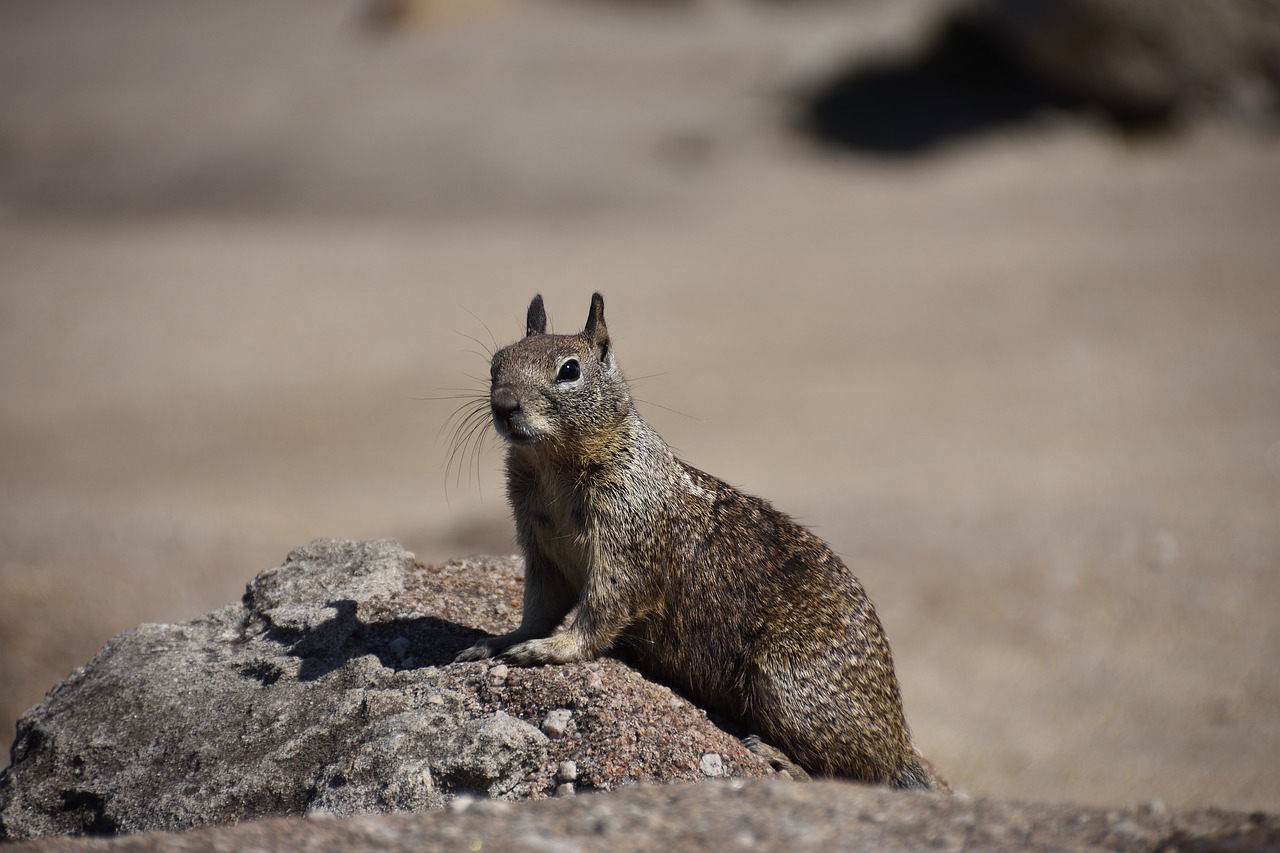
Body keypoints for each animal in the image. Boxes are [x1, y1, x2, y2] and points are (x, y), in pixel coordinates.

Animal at [455, 294, 947, 788]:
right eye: (496, 362)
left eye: (569, 370)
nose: (504, 406)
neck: (552, 464)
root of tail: (899, 742)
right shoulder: (542, 554)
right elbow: (539, 608)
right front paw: (500, 641)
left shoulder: (625, 546)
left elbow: (601, 611)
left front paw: (548, 650)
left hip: (783, 684)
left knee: (858, 770)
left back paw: (780, 756)